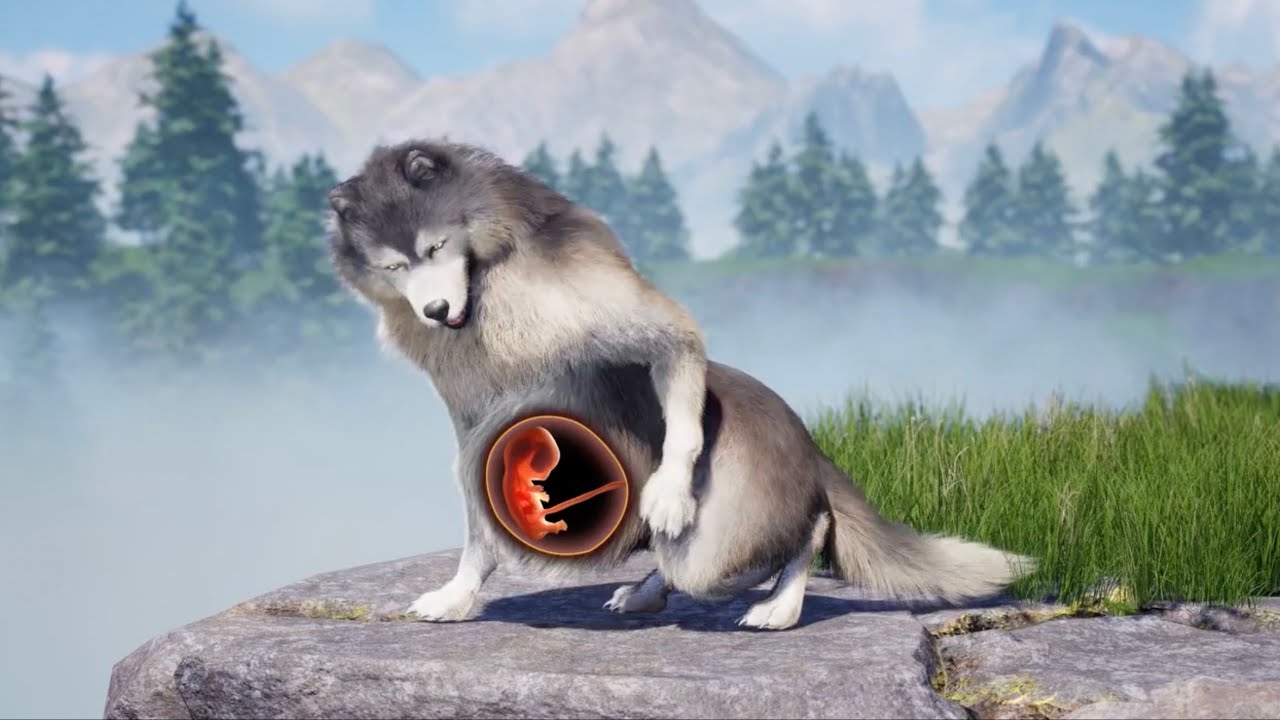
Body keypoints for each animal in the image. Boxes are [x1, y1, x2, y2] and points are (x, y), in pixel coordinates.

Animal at [327, 138, 1035, 630]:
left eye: (435, 246)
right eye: (393, 266)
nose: (435, 312)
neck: (491, 287)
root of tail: (812, 448)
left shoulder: (618, 311)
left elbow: (678, 355)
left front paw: (669, 491)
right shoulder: (473, 419)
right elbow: (478, 521)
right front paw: (456, 597)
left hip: (726, 545)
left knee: (799, 535)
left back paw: (778, 605)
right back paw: (643, 591)